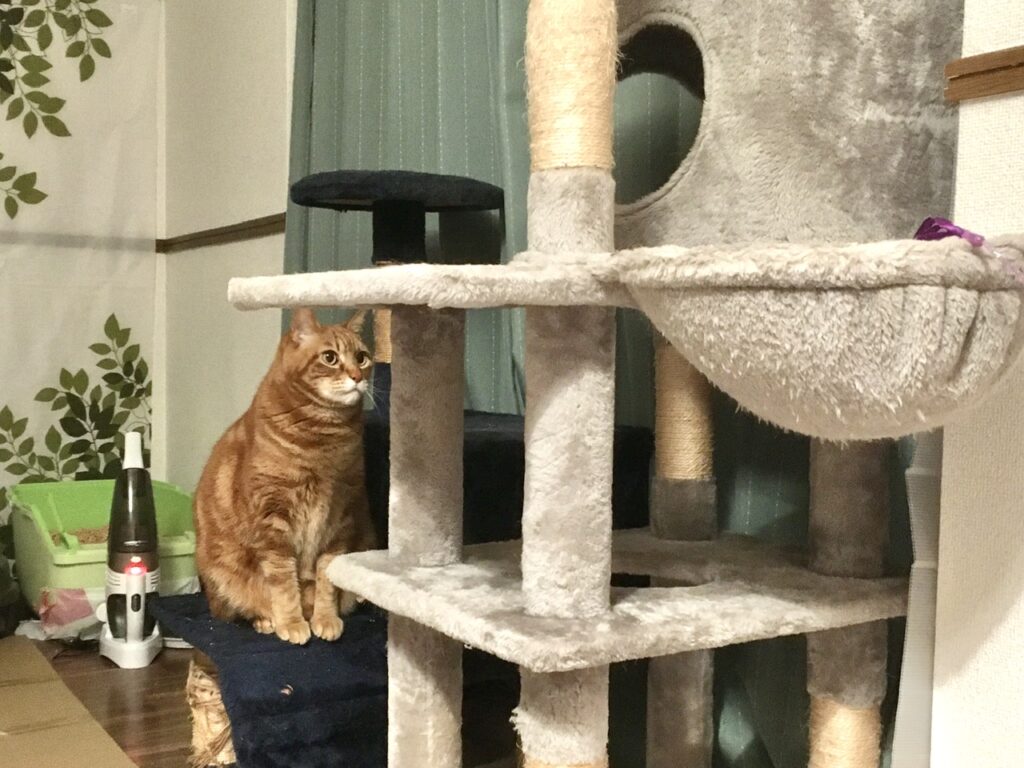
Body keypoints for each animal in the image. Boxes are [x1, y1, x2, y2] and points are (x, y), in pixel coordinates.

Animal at [193, 307, 377, 645]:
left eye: (362, 357)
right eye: (330, 357)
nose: (357, 378)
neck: (324, 442)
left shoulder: (340, 519)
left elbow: (326, 579)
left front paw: (324, 619)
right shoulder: (274, 522)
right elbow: (284, 584)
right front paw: (291, 623)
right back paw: (267, 620)